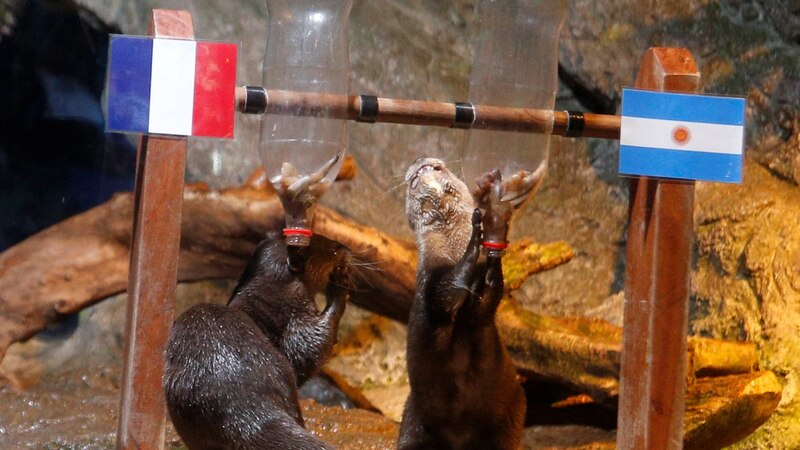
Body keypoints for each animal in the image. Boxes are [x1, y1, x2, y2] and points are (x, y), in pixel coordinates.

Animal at [164, 234, 348, 448]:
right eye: (333, 251)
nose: (344, 247)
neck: (274, 298)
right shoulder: (296, 322)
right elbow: (313, 349)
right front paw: (340, 287)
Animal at [398, 157, 524, 450]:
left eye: (439, 168)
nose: (421, 161)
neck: (451, 248)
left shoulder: (481, 311)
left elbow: (490, 293)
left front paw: (493, 233)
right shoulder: (430, 278)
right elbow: (442, 294)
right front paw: (475, 240)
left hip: (511, 418)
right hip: (412, 420)